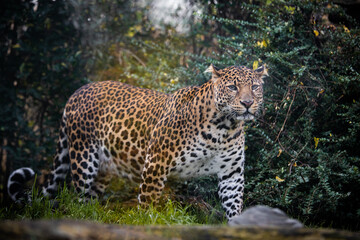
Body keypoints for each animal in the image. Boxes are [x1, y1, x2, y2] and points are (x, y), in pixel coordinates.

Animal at [7, 63, 268, 219]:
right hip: (83, 157)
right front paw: (148, 221)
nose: (247, 103)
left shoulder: (232, 173)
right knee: (77, 195)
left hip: (104, 168)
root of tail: (78, 91)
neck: (223, 128)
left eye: (255, 87)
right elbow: (149, 201)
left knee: (90, 196)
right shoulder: (156, 163)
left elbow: (234, 204)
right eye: (233, 87)